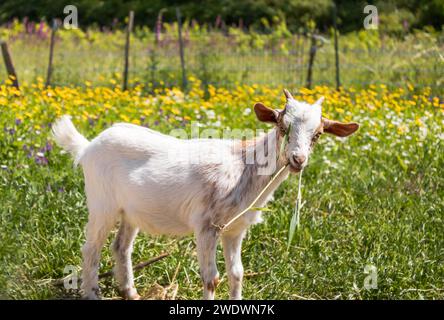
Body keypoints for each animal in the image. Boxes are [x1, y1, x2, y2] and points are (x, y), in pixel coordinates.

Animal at [52, 89, 360, 298]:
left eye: (317, 135)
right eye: (282, 126)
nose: (298, 159)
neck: (245, 166)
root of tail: (88, 146)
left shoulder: (235, 229)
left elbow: (237, 274)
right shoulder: (206, 226)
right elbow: (211, 277)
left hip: (130, 211)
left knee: (120, 246)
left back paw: (131, 292)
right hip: (101, 203)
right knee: (91, 248)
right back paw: (93, 293)